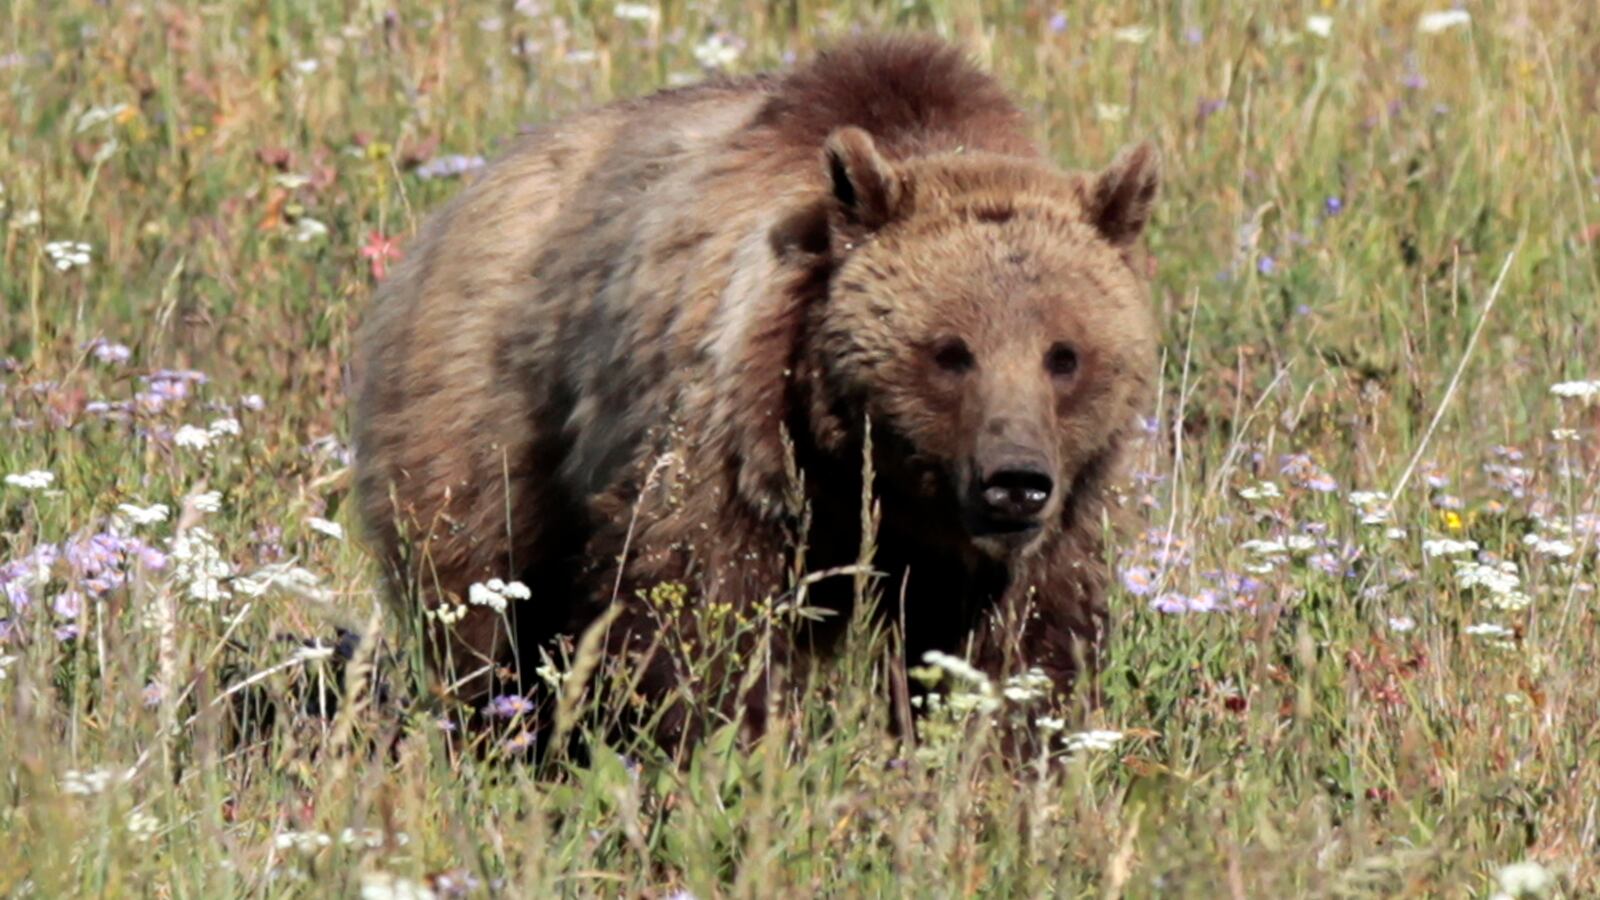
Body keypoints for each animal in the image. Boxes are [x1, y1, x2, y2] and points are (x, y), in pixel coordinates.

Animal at [351, 33, 1160, 752]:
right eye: (950, 352)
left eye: (1065, 356)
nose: (1015, 481)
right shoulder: (732, 432)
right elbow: (702, 607)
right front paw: (728, 746)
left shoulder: (1037, 531)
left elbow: (1021, 639)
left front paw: (999, 752)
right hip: (487, 413)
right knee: (481, 599)